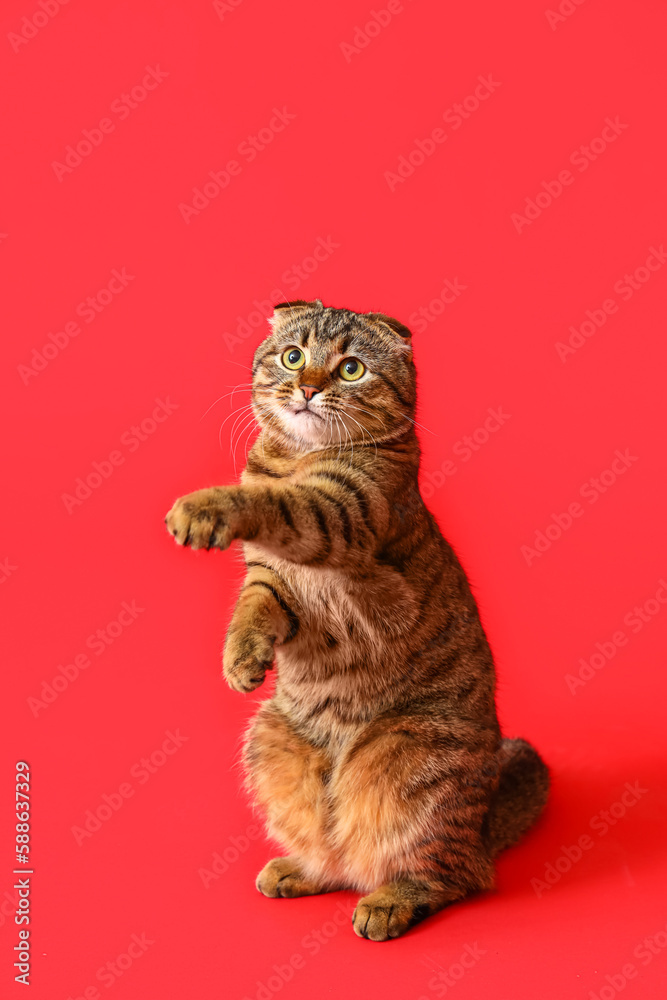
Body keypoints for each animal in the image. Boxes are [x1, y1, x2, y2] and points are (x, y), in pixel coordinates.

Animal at [166, 296, 548, 936]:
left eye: (351, 370)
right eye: (293, 356)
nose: (307, 387)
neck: (296, 458)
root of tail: (483, 827)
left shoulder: (338, 515)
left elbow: (274, 503)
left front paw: (205, 506)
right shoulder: (272, 582)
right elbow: (253, 607)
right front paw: (241, 659)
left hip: (408, 761)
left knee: (447, 873)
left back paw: (391, 901)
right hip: (272, 739)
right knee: (339, 850)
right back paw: (305, 868)